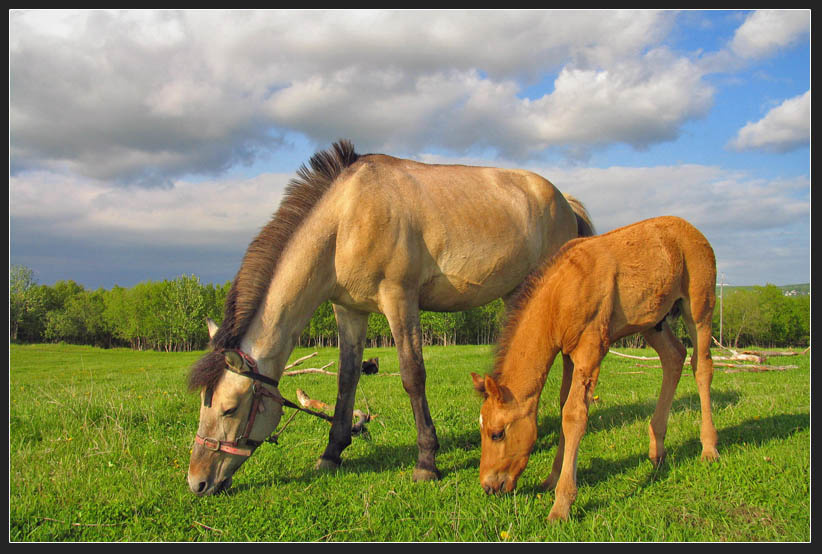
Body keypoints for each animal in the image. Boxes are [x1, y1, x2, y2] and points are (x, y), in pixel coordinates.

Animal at [186, 140, 594, 496]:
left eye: (229, 408)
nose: (197, 482)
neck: (346, 218)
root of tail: (564, 200)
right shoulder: (349, 310)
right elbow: (346, 379)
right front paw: (331, 454)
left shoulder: (399, 299)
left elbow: (413, 376)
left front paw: (427, 462)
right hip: (516, 294)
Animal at [471, 216, 719, 521]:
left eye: (498, 433)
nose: (489, 485)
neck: (561, 294)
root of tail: (693, 231)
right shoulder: (568, 355)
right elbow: (564, 405)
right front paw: (552, 477)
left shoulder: (590, 348)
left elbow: (574, 415)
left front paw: (562, 504)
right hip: (653, 321)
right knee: (674, 357)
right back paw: (657, 450)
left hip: (699, 306)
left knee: (702, 365)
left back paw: (709, 447)